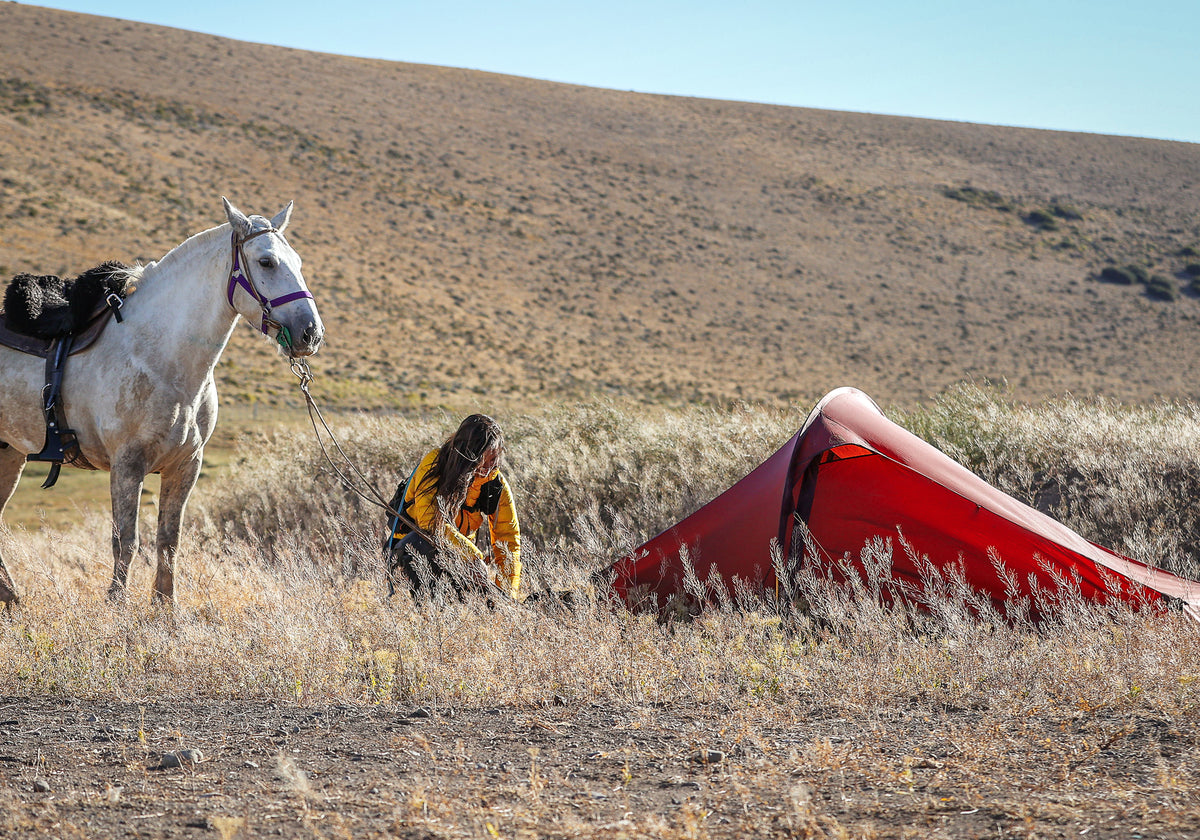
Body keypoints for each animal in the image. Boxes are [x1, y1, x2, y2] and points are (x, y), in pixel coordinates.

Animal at [0, 198, 324, 606]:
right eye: (266, 261)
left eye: (297, 261)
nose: (310, 333)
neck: (161, 356)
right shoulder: (126, 466)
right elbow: (125, 541)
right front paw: (116, 607)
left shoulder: (185, 466)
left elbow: (169, 540)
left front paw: (166, 611)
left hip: (10, 454)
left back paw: (12, 600)